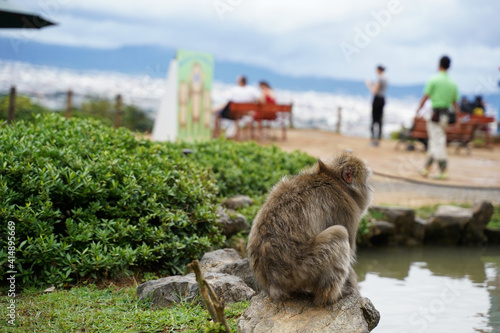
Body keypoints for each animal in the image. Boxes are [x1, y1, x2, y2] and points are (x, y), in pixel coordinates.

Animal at [248, 152, 374, 304]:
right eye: (366, 180)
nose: (370, 188)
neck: (334, 179)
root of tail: (273, 282)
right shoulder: (345, 208)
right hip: (303, 269)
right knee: (339, 233)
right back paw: (330, 296)